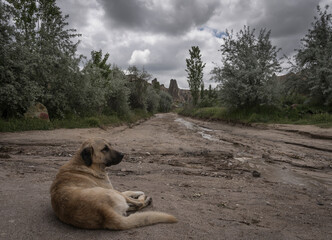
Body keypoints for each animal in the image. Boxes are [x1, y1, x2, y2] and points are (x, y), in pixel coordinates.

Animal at [49, 138, 178, 230]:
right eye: (105, 149)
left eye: (110, 145)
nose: (122, 154)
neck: (84, 163)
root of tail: (104, 212)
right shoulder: (111, 187)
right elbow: (126, 192)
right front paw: (139, 193)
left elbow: (127, 191)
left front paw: (137, 192)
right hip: (112, 192)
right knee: (138, 203)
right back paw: (145, 198)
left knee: (132, 207)